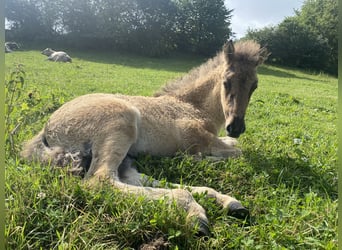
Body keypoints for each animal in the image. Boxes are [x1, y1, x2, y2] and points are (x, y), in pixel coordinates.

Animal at [22, 40, 268, 235]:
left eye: (255, 86)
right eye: (227, 81)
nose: (236, 126)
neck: (193, 107)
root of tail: (47, 129)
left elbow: (234, 146)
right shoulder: (196, 139)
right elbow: (236, 151)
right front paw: (196, 159)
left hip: (123, 155)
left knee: (131, 179)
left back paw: (227, 202)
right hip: (121, 125)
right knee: (101, 181)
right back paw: (195, 212)